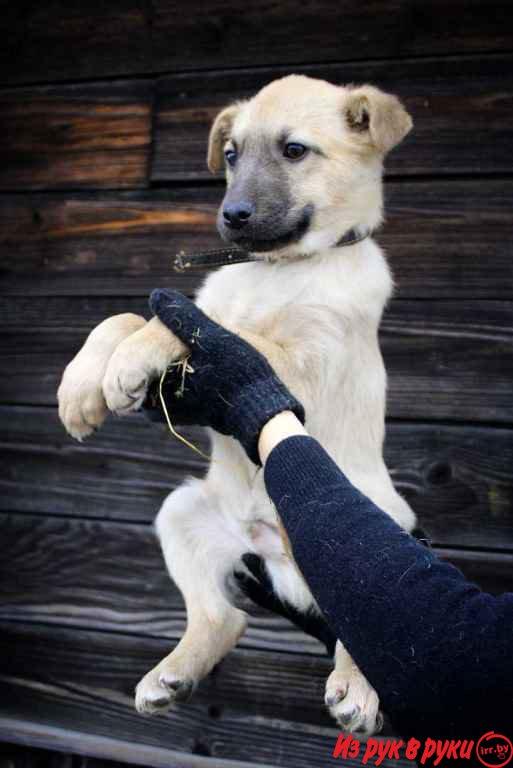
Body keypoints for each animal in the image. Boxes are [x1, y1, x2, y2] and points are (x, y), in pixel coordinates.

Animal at [57, 75, 416, 736]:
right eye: (230, 155)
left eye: (295, 151)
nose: (232, 216)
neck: (276, 269)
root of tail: (279, 556)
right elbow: (124, 316)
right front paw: (81, 388)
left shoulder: (302, 363)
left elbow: (208, 330)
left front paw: (129, 362)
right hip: (182, 512)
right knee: (225, 617)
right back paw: (173, 674)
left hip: (381, 529)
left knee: (366, 626)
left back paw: (355, 690)